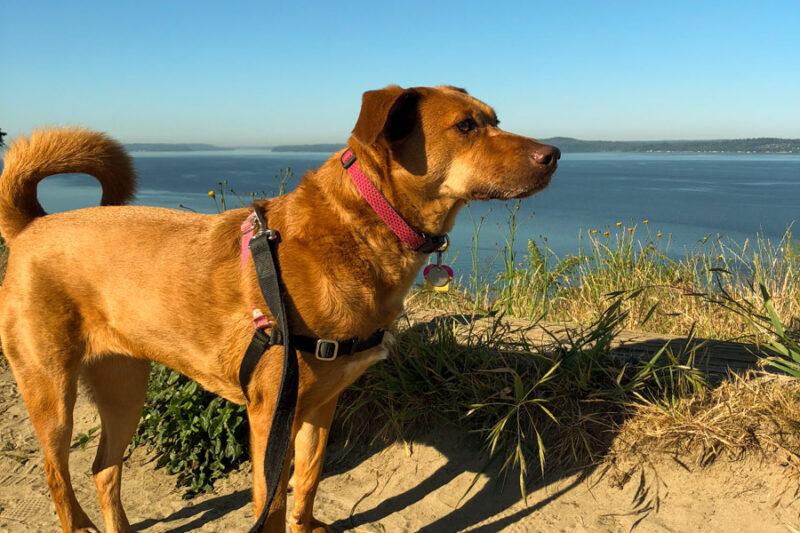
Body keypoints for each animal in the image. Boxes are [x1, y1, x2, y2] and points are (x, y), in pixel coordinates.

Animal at [0, 85, 556, 528]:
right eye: (465, 126)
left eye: (495, 119)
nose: (552, 154)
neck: (361, 224)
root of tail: (32, 225)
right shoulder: (269, 414)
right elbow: (270, 500)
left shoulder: (320, 405)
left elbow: (306, 482)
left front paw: (305, 524)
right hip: (51, 394)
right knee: (59, 478)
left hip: (124, 389)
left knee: (103, 470)